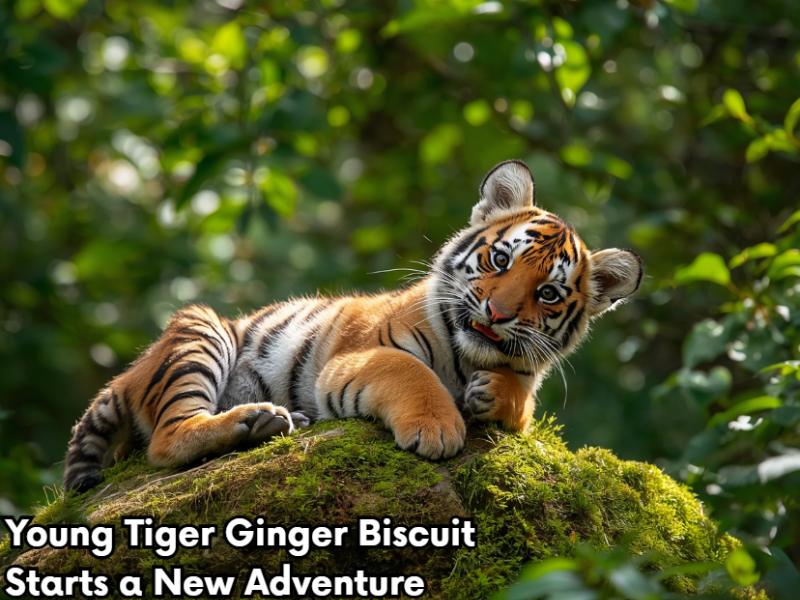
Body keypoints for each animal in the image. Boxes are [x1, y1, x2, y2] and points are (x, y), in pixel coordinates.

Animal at [63, 159, 643, 493]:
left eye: (548, 294)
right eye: (500, 260)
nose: (498, 314)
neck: (465, 357)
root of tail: (125, 376)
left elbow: (521, 398)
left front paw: (492, 393)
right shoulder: (359, 355)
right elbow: (409, 372)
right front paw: (437, 428)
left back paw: (271, 422)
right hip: (200, 332)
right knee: (166, 440)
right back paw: (252, 420)